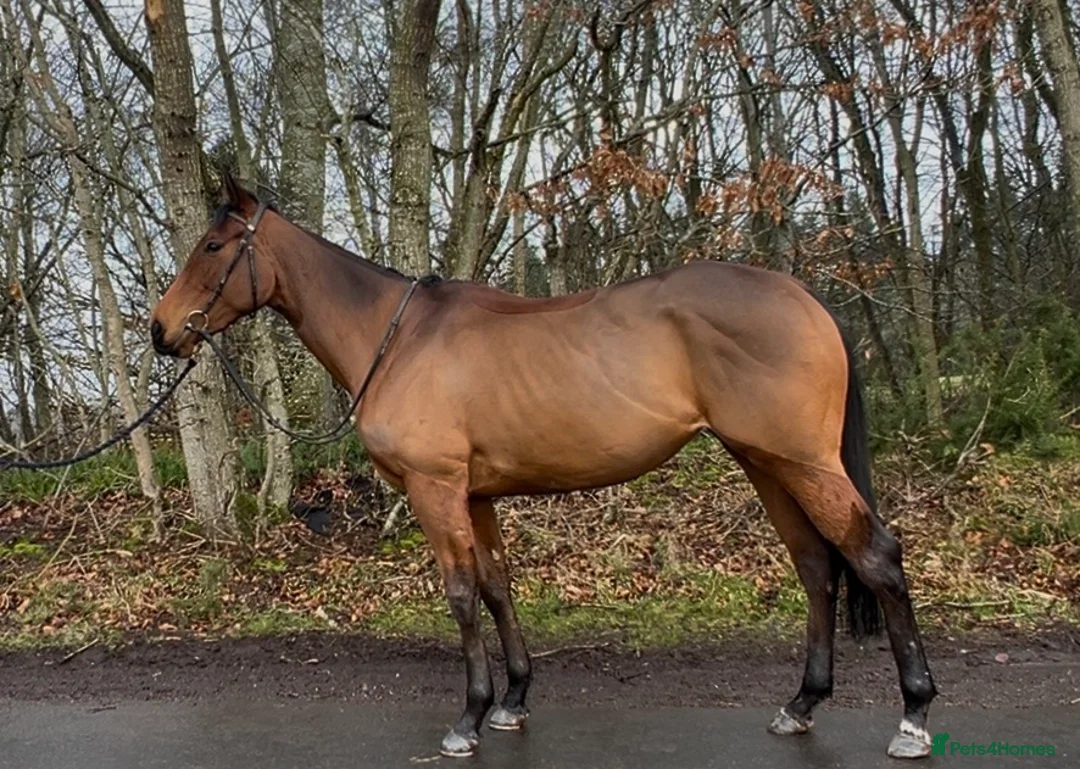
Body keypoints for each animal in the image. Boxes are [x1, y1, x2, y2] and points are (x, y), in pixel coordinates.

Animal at [150, 176, 937, 759]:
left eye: (213, 244)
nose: (161, 331)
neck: (398, 338)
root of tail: (806, 300)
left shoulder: (438, 490)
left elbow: (462, 594)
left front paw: (468, 717)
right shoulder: (477, 495)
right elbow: (498, 586)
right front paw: (513, 699)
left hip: (803, 463)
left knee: (875, 556)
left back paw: (914, 714)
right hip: (766, 462)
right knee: (816, 564)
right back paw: (802, 702)